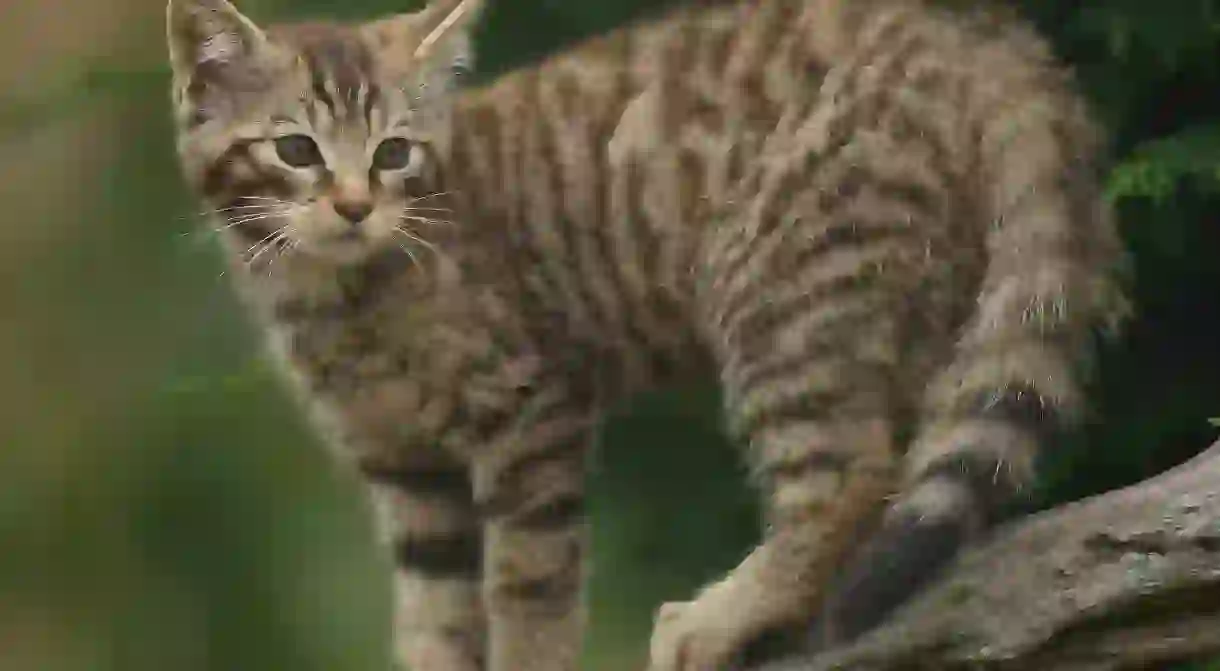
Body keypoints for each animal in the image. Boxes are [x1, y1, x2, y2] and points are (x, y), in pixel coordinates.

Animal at [162, 1, 1122, 671]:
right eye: (296, 150)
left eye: (394, 153)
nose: (355, 205)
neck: (342, 291)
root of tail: (977, 35)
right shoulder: (409, 471)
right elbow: (436, 615)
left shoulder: (531, 416)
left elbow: (528, 593)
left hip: (782, 288)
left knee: (848, 472)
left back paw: (729, 612)